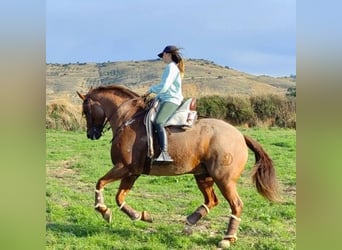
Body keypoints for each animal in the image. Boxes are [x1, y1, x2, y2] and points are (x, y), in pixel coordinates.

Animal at [76, 84, 280, 248]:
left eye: (85, 111)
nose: (91, 134)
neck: (128, 119)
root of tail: (239, 135)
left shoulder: (124, 167)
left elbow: (100, 183)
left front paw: (103, 210)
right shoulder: (132, 172)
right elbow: (119, 197)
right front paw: (139, 215)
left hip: (224, 179)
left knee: (236, 205)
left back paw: (227, 238)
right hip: (203, 175)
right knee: (211, 200)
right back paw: (190, 222)